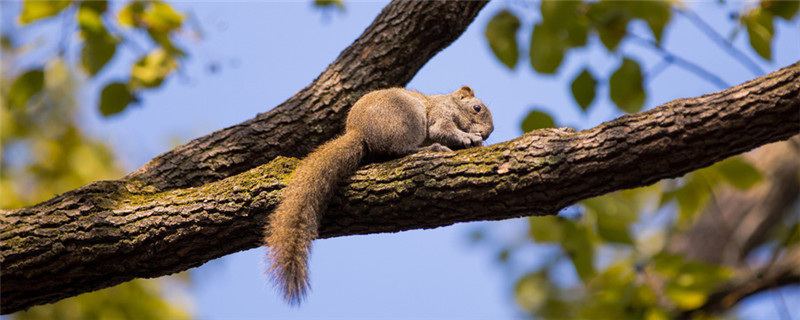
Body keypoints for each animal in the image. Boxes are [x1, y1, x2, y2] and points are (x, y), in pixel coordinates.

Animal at [266, 85, 494, 304]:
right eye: (477, 108)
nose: (486, 134)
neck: (451, 102)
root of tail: (360, 132)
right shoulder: (441, 113)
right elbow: (441, 130)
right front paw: (468, 137)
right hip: (408, 119)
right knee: (400, 149)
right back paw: (430, 148)